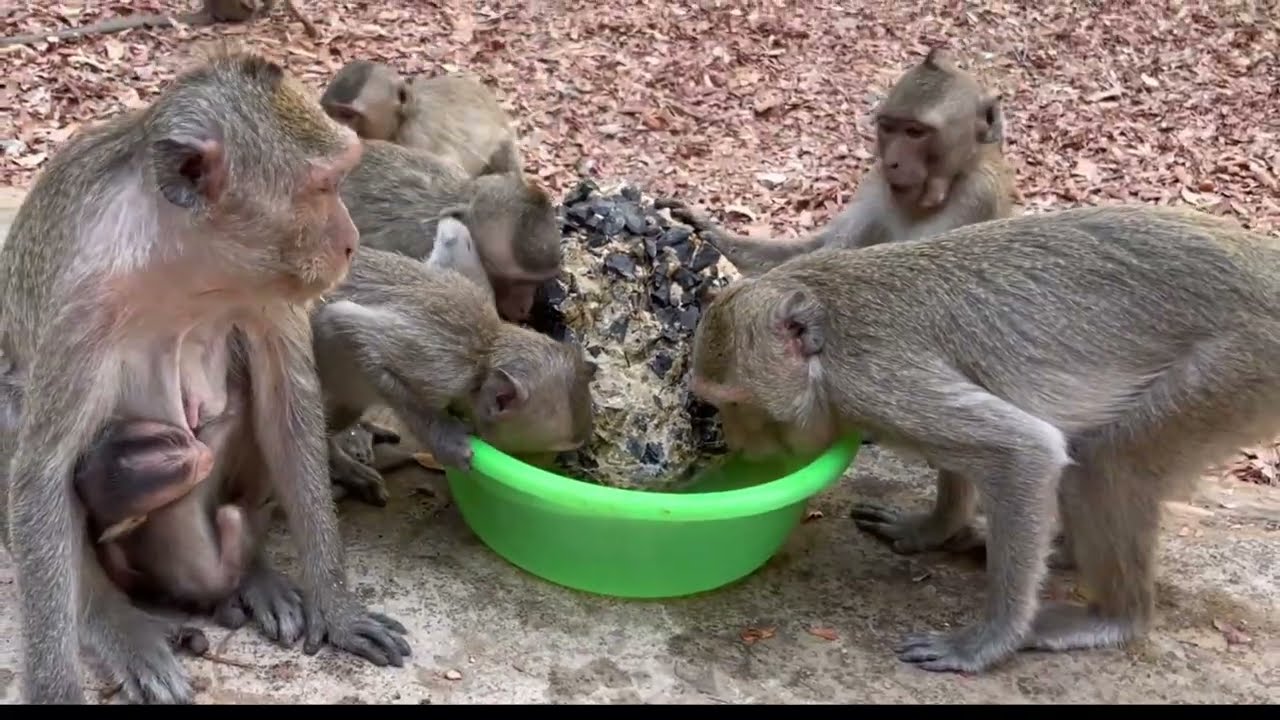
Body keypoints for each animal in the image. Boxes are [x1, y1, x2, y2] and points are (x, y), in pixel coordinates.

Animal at [0, 48, 410, 705]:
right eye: (324, 186)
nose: (349, 242)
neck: (182, 255)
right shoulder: (83, 301)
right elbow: (40, 475)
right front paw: (58, 684)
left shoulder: (266, 282)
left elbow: (288, 405)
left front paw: (337, 606)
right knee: (16, 409)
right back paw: (115, 620)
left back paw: (252, 574)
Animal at [313, 238, 595, 506]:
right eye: (544, 452)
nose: (544, 468)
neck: (485, 355)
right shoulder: (442, 366)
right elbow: (341, 321)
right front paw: (444, 439)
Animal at [663, 47, 1014, 276]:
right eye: (888, 127)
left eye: (916, 132)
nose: (892, 162)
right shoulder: (874, 187)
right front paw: (709, 229)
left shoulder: (976, 198)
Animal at [688, 204, 1280, 674]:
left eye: (734, 402)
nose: (738, 443)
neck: (826, 335)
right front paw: (934, 528)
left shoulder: (874, 381)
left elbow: (1022, 451)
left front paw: (989, 642)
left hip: (1237, 368)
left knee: (1105, 463)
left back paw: (1116, 615)